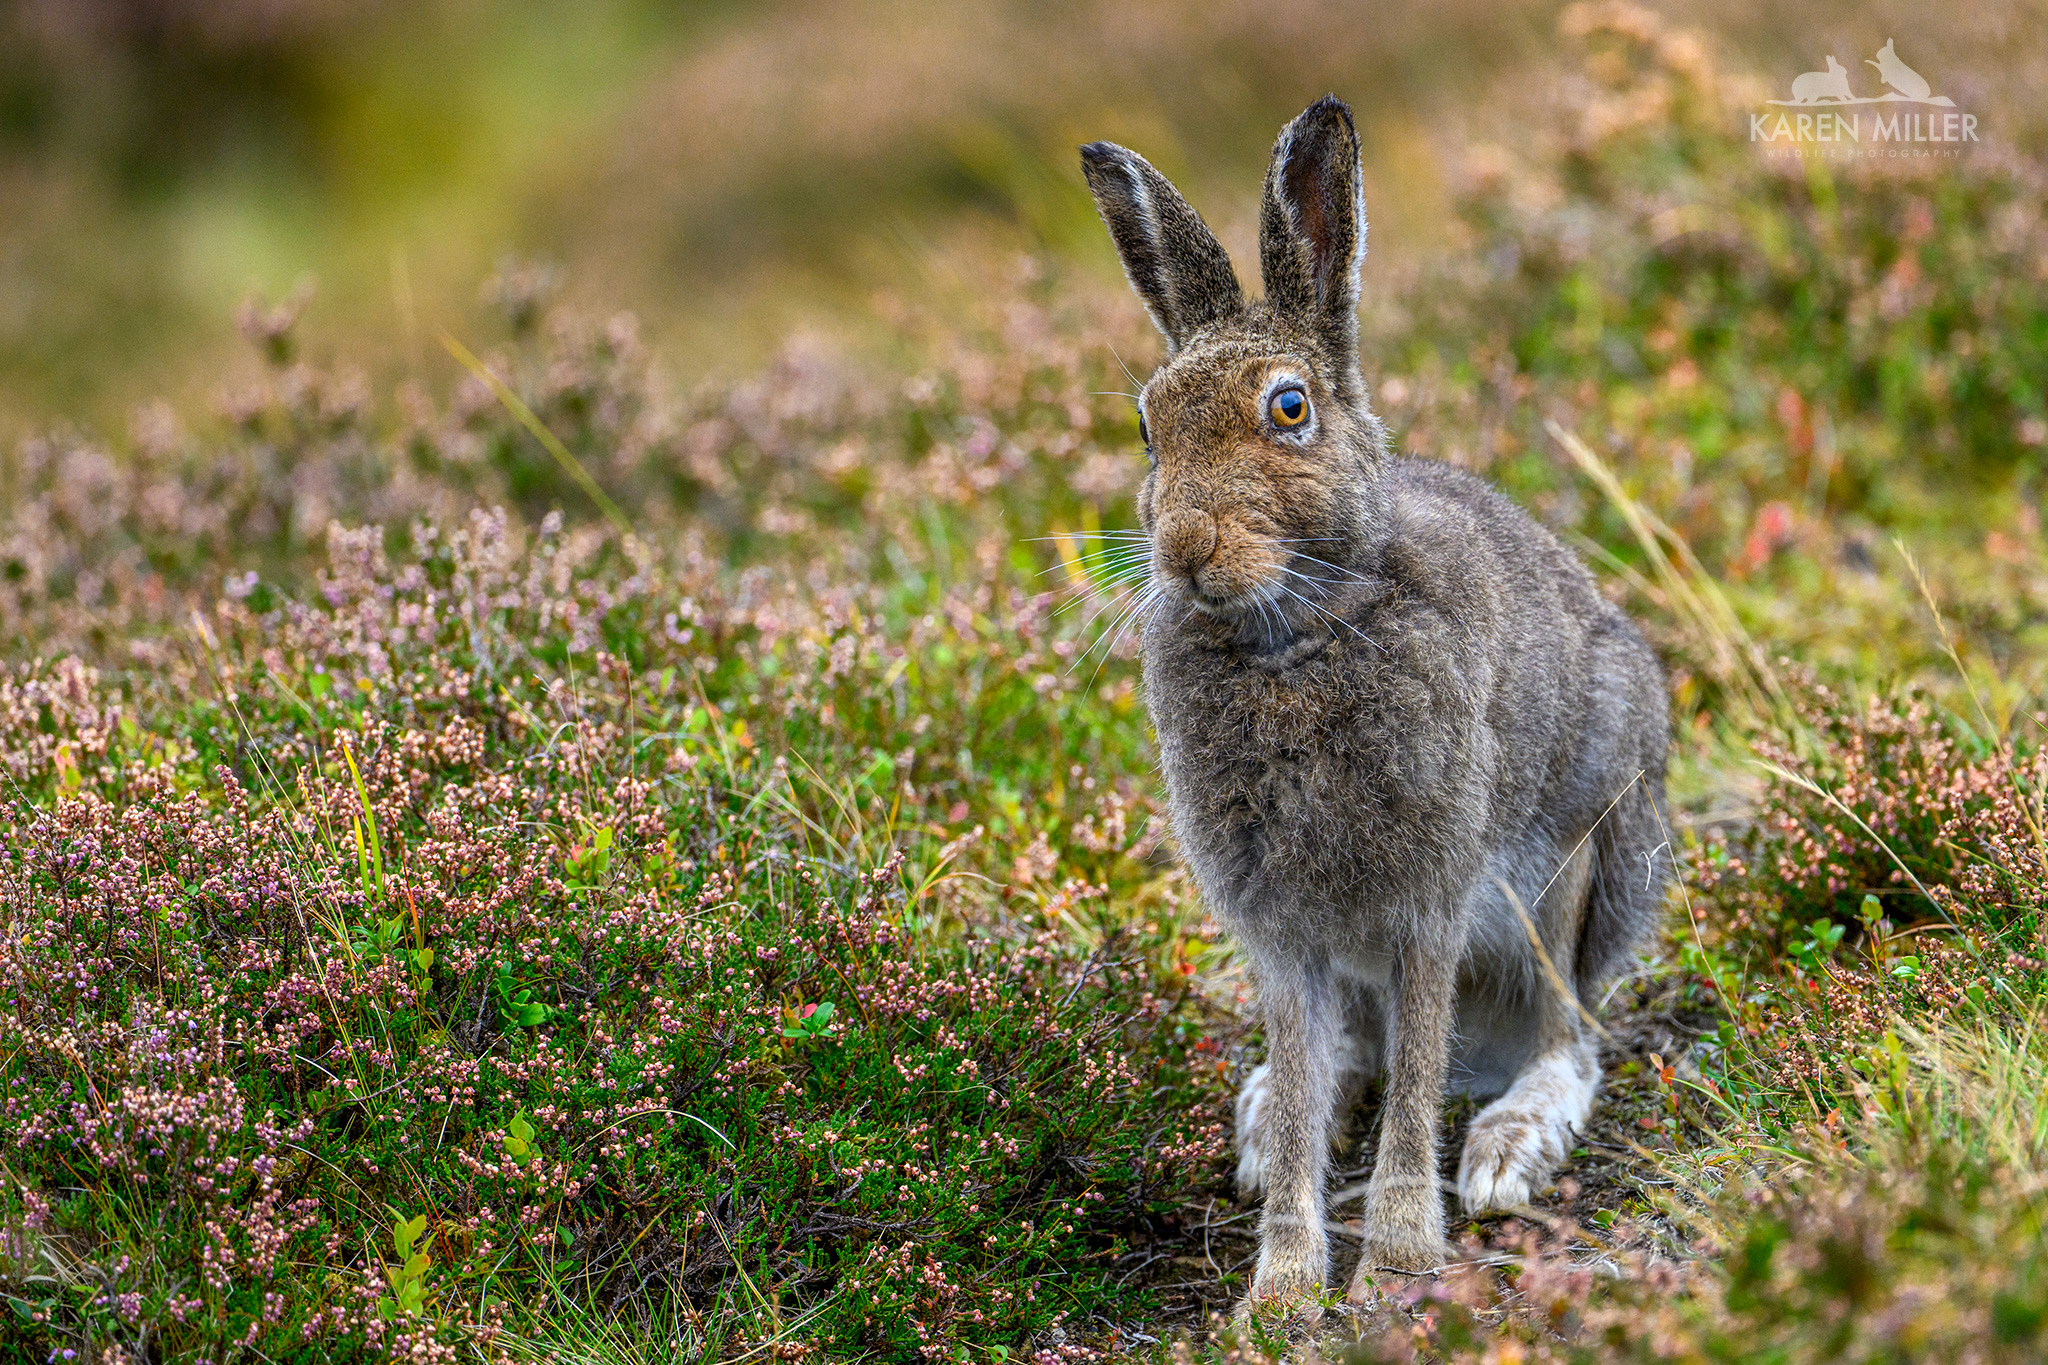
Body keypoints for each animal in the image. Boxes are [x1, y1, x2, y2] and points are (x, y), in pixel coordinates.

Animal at [1078, 95, 1670, 1318]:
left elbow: (1413, 1084)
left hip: (1573, 862)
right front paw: (1281, 1287)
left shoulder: (1428, 903)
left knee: (1565, 1034)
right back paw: (1263, 1130)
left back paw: (1505, 1146)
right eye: (1148, 429)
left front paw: (1396, 1256)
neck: (1289, 638)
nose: (1184, 546)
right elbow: (1321, 1084)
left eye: (1288, 408)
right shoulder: (1280, 927)